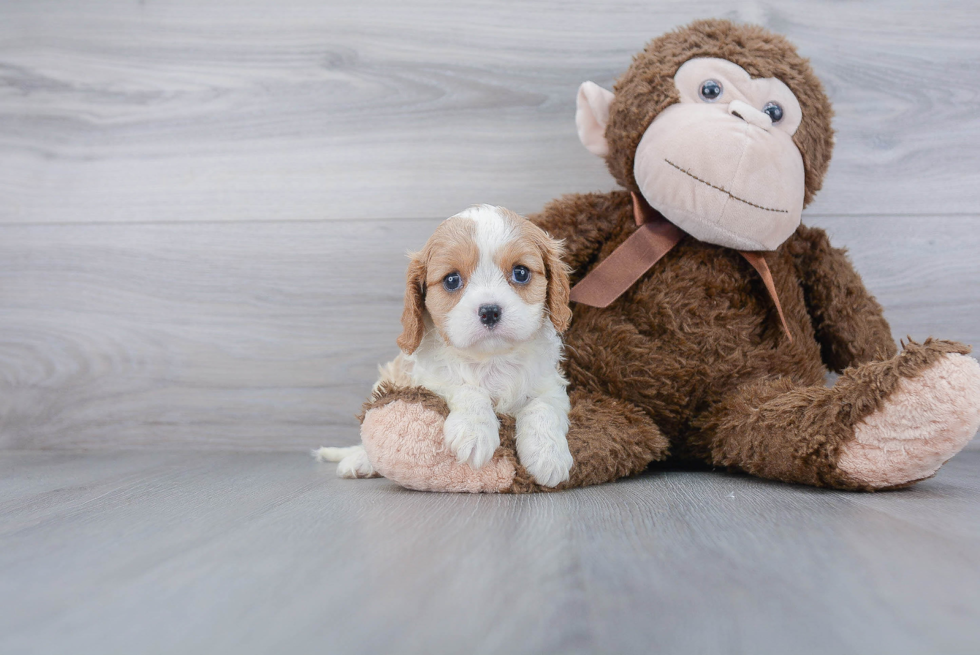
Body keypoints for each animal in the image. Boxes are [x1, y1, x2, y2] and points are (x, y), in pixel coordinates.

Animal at [318, 205, 576, 486]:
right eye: (451, 280)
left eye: (521, 273)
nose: (490, 311)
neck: (492, 359)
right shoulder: (429, 380)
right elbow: (466, 388)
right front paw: (474, 433)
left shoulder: (550, 385)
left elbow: (543, 407)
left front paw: (548, 456)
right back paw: (359, 461)